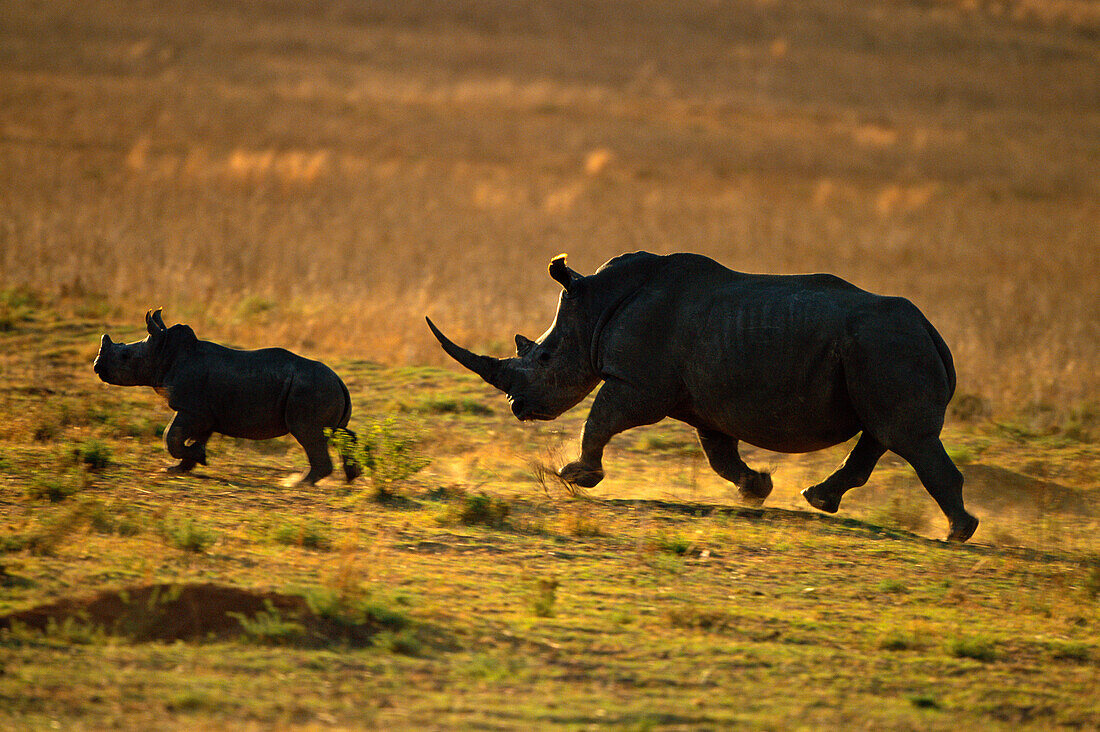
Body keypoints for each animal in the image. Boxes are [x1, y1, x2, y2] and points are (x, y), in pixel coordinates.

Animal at [94, 308, 358, 484]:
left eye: (125, 356)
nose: (97, 366)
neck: (163, 351)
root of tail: (339, 380)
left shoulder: (192, 409)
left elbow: (171, 437)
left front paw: (194, 459)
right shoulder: (204, 413)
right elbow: (188, 439)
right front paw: (181, 466)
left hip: (310, 390)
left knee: (308, 433)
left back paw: (297, 483)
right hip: (321, 388)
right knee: (338, 433)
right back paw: (351, 478)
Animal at [426, 250, 981, 541]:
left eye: (542, 359)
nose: (516, 408)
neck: (596, 308)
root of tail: (933, 332)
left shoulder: (639, 383)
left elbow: (600, 418)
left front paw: (576, 476)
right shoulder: (705, 400)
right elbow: (719, 454)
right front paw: (757, 489)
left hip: (887, 346)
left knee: (906, 436)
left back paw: (958, 533)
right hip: (883, 348)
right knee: (883, 432)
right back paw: (820, 500)